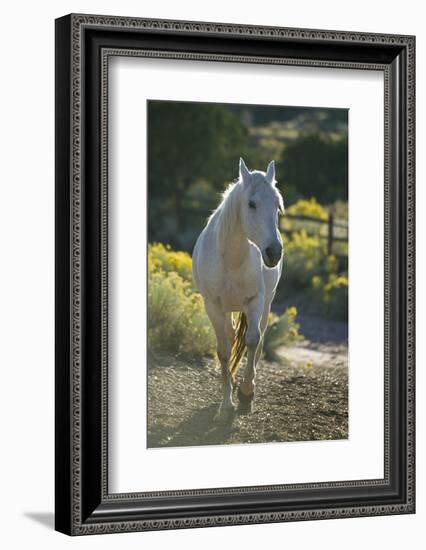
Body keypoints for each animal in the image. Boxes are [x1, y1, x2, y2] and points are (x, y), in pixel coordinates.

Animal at [192, 160, 284, 422]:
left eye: (277, 205)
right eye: (251, 204)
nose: (274, 252)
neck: (231, 260)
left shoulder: (255, 301)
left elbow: (252, 341)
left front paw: (245, 394)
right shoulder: (213, 306)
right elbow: (224, 350)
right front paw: (226, 405)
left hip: (266, 304)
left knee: (258, 341)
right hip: (228, 310)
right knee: (232, 337)